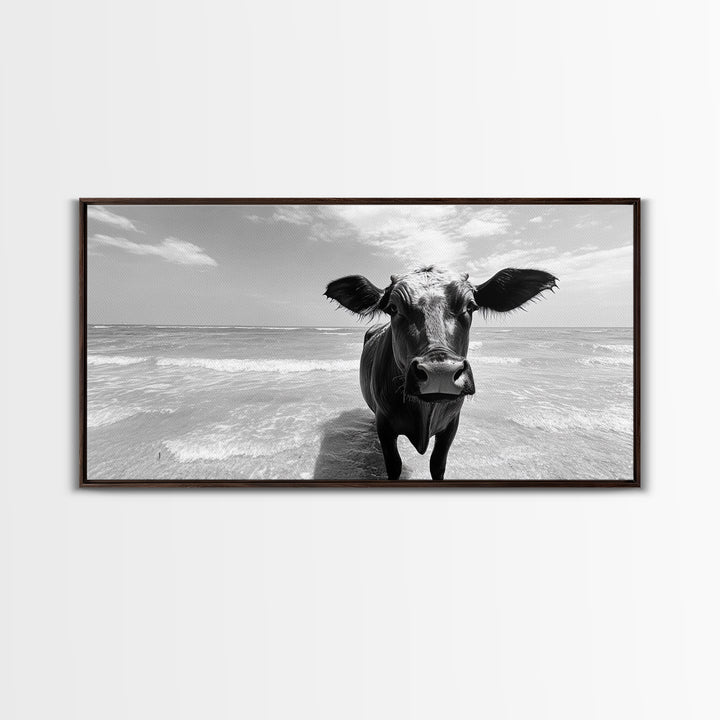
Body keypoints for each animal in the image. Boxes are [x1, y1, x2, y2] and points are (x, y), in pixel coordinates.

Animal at [324, 266, 557, 480]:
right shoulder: (385, 424)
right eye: (393, 307)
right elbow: (394, 466)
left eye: (470, 306)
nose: (440, 372)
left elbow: (437, 464)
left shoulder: (451, 425)